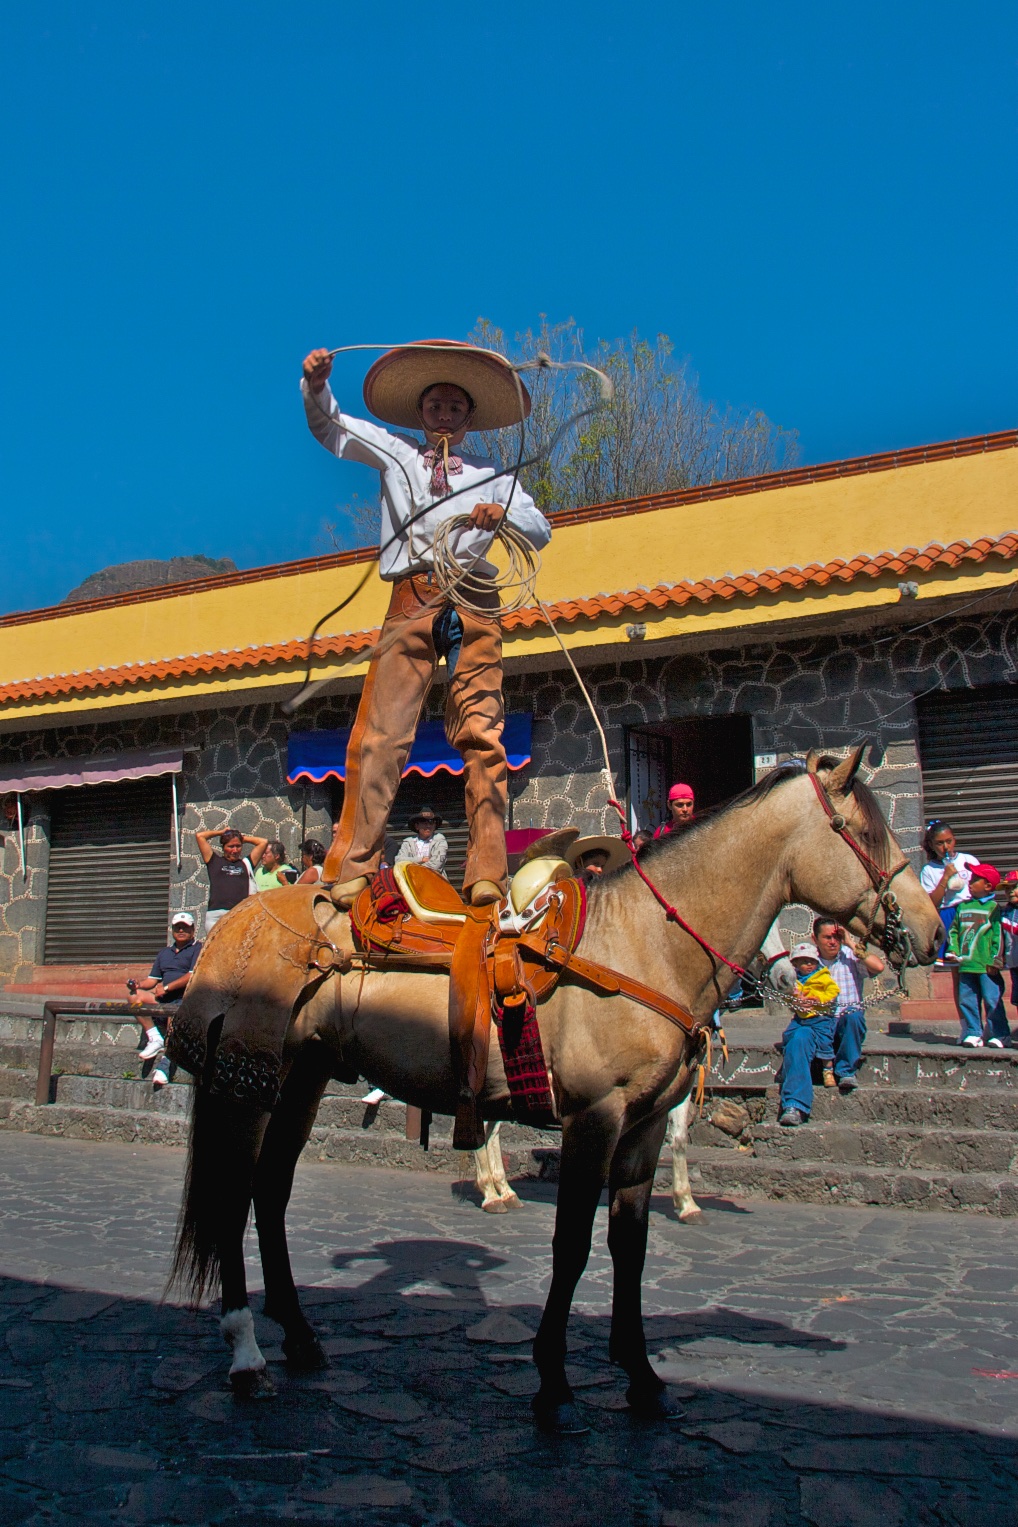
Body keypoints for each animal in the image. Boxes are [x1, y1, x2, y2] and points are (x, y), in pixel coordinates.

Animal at [165, 745, 940, 1435]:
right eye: (865, 832)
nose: (932, 931)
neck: (643, 946)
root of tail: (239, 922)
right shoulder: (594, 1118)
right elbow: (572, 1246)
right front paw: (554, 1385)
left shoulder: (645, 1126)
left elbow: (630, 1243)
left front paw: (642, 1377)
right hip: (247, 1080)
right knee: (231, 1199)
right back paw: (247, 1356)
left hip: (304, 1076)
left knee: (269, 1192)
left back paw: (300, 1336)